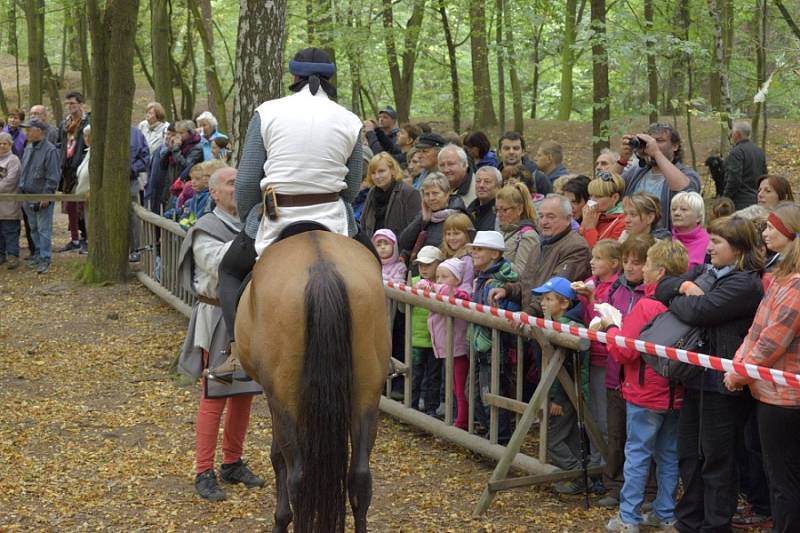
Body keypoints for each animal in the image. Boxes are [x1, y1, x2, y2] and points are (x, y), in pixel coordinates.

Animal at [234, 229, 390, 532]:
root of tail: (322, 270)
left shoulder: (276, 400)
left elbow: (277, 457)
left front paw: (280, 520)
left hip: (285, 399)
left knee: (298, 478)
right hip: (366, 394)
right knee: (360, 478)